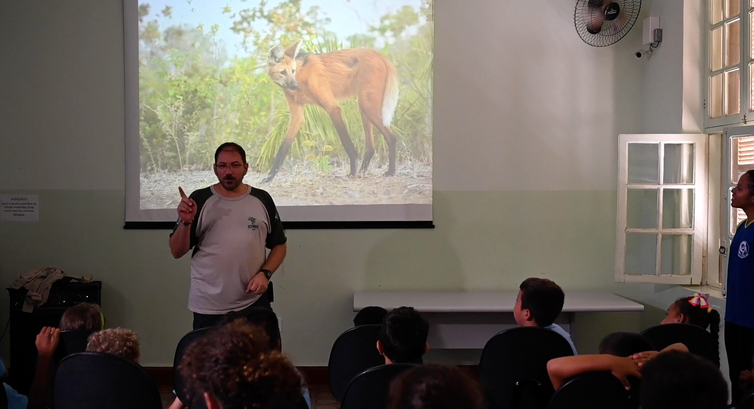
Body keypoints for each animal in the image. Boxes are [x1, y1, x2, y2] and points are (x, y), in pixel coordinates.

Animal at [262, 38, 396, 182]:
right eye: (283, 72)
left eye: (292, 71)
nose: (294, 85)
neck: (301, 76)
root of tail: (381, 56)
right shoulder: (297, 116)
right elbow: (283, 148)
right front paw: (269, 177)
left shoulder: (333, 108)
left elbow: (346, 142)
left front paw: (352, 172)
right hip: (363, 107)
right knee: (371, 147)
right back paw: (363, 171)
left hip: (367, 106)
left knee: (391, 137)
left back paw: (390, 171)